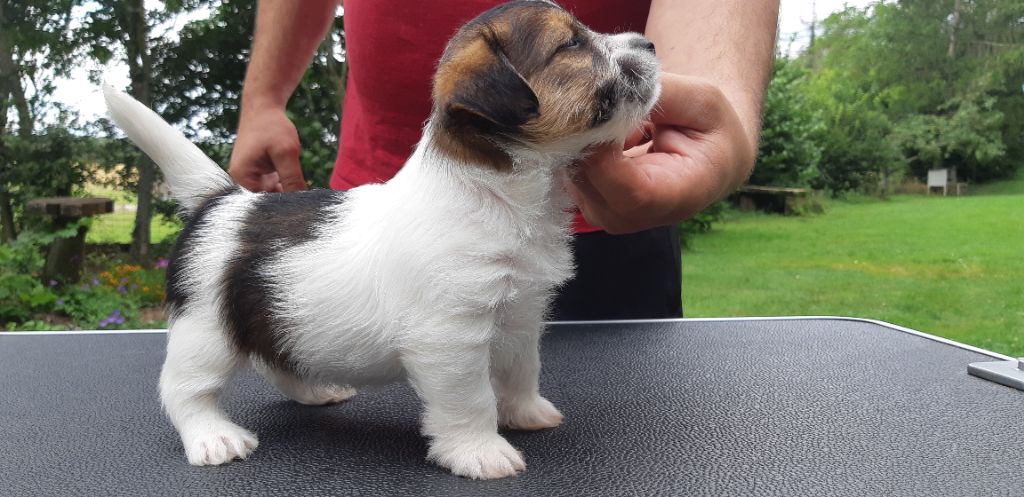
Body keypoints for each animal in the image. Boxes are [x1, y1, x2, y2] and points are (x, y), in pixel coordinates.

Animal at [103, 0, 659, 479]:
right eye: (571, 45)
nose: (650, 44)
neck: (500, 193)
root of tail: (224, 201)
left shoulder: (521, 317)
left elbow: (523, 369)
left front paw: (526, 412)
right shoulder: (451, 337)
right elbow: (472, 398)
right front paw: (479, 451)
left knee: (278, 358)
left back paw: (315, 390)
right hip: (207, 330)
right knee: (184, 389)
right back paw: (213, 437)